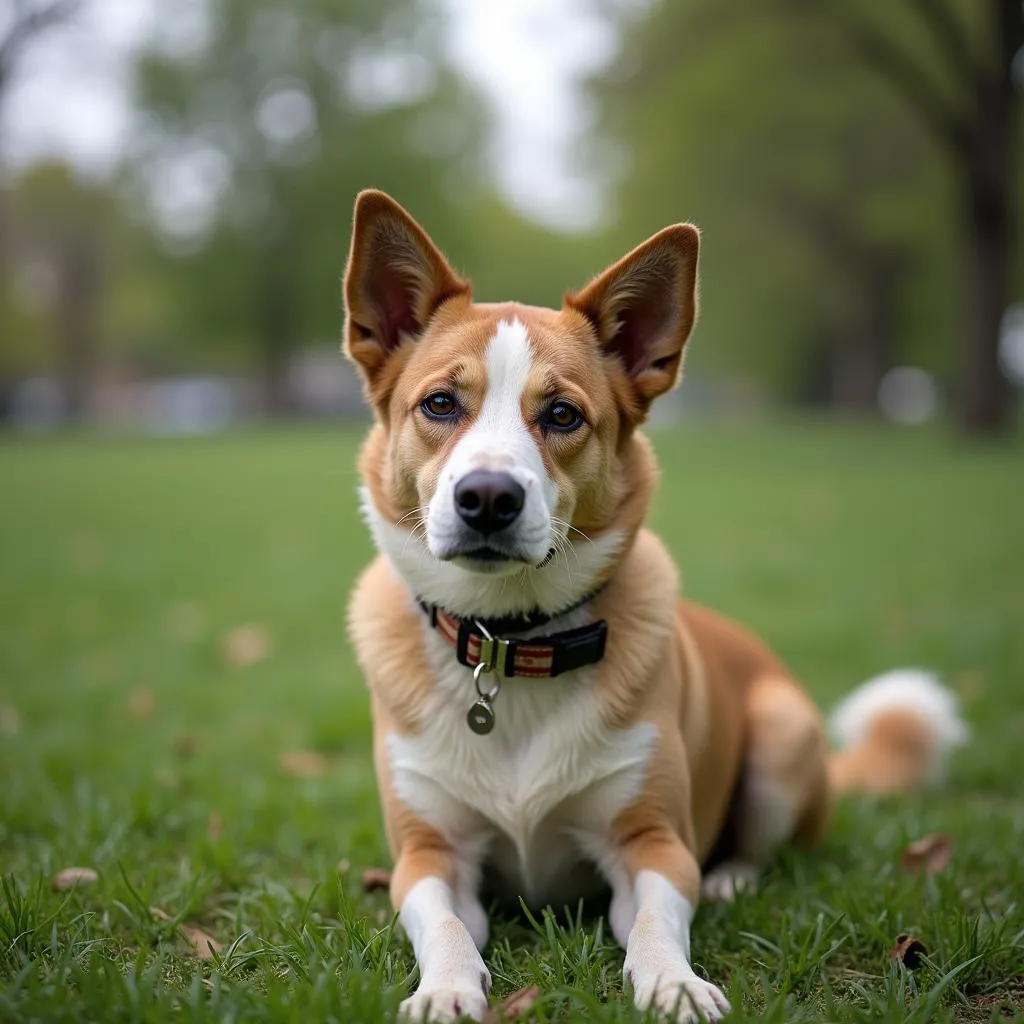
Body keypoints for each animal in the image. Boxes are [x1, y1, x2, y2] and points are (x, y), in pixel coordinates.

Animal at [344, 188, 966, 1019]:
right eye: (440, 404)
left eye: (563, 415)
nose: (488, 498)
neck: (513, 644)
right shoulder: (427, 854)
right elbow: (442, 922)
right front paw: (444, 989)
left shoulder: (655, 845)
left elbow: (655, 921)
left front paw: (674, 982)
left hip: (780, 734)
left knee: (755, 852)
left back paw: (731, 879)